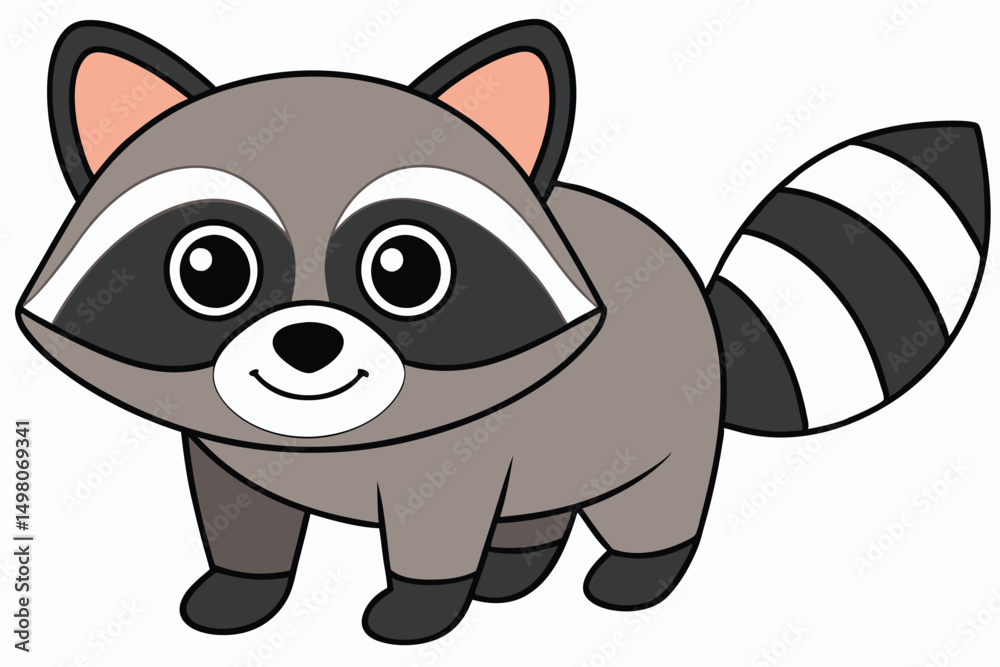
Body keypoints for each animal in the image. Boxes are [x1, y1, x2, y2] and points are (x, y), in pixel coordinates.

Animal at [18, 20, 989, 644]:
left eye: (405, 269)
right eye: (211, 269)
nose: (308, 343)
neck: (322, 443)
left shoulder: (455, 453)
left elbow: (436, 528)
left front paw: (422, 603)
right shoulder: (223, 451)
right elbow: (240, 516)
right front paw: (243, 586)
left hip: (660, 428)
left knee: (653, 508)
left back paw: (636, 572)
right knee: (533, 506)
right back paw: (516, 566)